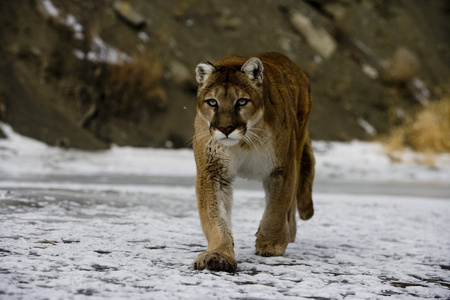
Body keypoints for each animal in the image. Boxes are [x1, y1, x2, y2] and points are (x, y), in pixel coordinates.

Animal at [192, 52, 314, 274]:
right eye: (212, 102)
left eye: (241, 101)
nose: (226, 129)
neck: (244, 143)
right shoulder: (213, 171)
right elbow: (214, 217)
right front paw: (219, 255)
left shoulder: (282, 168)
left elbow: (276, 209)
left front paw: (270, 244)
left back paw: (289, 232)